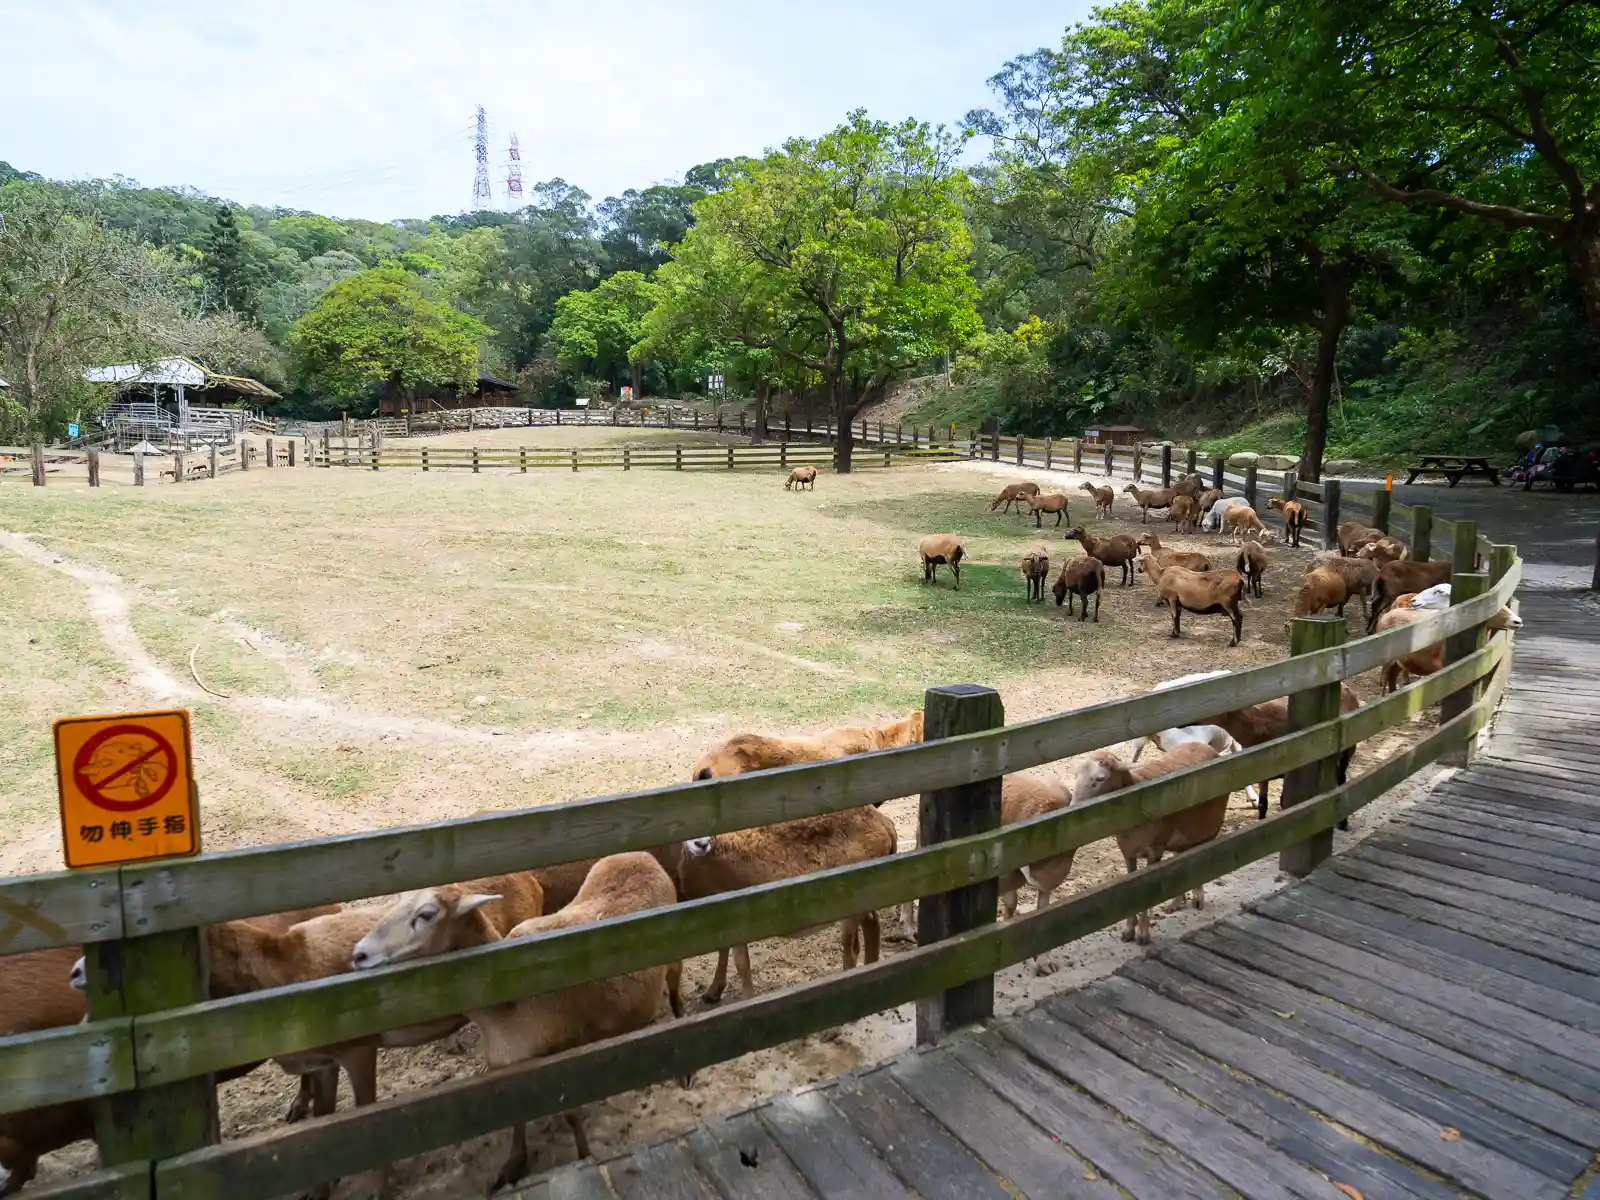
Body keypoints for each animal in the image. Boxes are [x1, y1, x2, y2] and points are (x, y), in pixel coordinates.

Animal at [350, 857, 681, 1196]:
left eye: (427, 914)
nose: (359, 954)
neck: (505, 1012)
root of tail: (639, 856)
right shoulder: (512, 1071)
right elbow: (517, 1114)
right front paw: (513, 1165)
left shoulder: (565, 1057)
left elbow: (572, 1116)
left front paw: (584, 1154)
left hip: (674, 957)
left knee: (676, 992)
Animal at [678, 809, 902, 1004]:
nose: (701, 843)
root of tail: (885, 825)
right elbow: (724, 950)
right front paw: (713, 992)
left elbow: (741, 963)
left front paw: (747, 1000)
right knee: (872, 923)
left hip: (852, 899)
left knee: (852, 949)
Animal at [1068, 742, 1228, 947]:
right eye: (1076, 774)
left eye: (1100, 778)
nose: (1072, 807)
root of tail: (1204, 746)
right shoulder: (1127, 852)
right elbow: (1132, 891)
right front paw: (1128, 931)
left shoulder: (1155, 850)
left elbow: (1147, 893)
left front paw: (1143, 934)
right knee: (1182, 858)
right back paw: (1176, 903)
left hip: (1212, 824)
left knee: (1204, 856)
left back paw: (1198, 898)